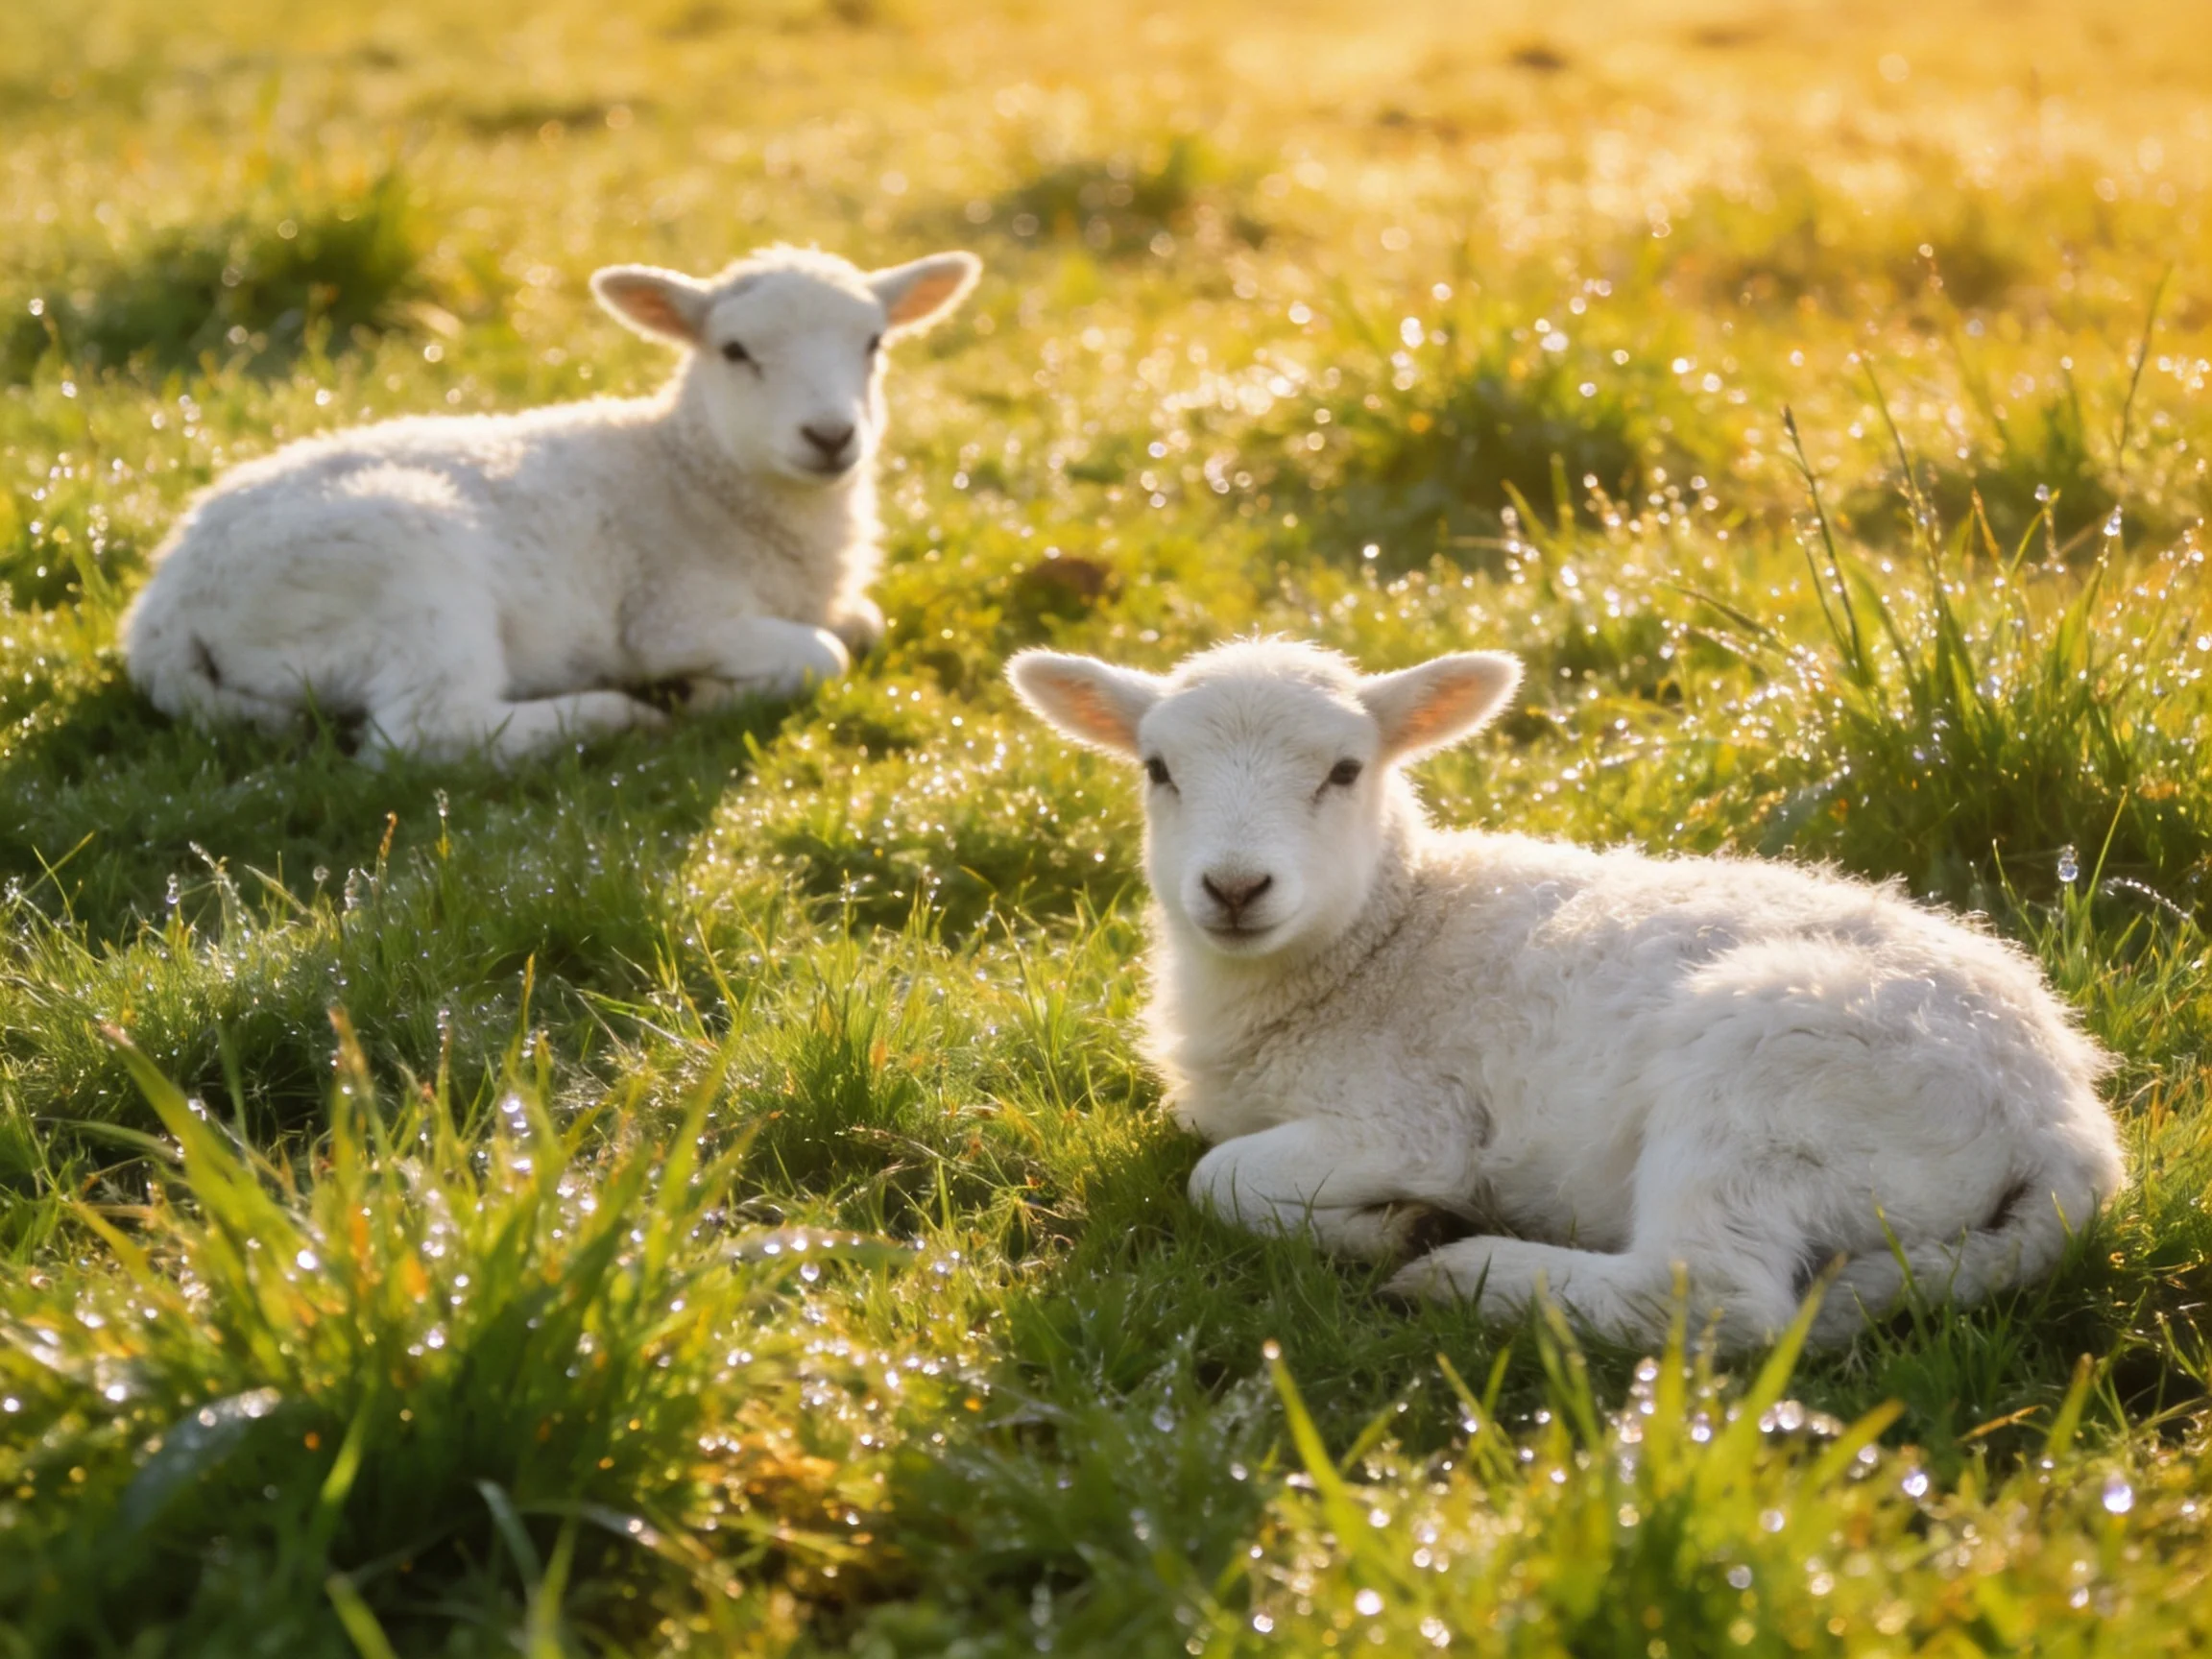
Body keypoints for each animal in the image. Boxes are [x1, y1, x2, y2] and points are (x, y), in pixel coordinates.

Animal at [122, 244, 981, 762]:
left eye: (874, 343)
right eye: (735, 351)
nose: (831, 436)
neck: (690, 471)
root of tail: (164, 609)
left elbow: (863, 625)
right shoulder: (671, 615)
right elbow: (825, 653)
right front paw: (702, 693)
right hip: (402, 573)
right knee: (426, 732)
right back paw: (614, 715)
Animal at [1009, 638, 2127, 1349]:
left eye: (1344, 770)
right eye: (1158, 768)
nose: (1236, 888)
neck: (1385, 938)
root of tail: (2064, 1122)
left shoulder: (1409, 1119)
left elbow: (1218, 1181)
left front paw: (1400, 1225)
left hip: (1775, 1080)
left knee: (1712, 1298)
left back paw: (1463, 1273)